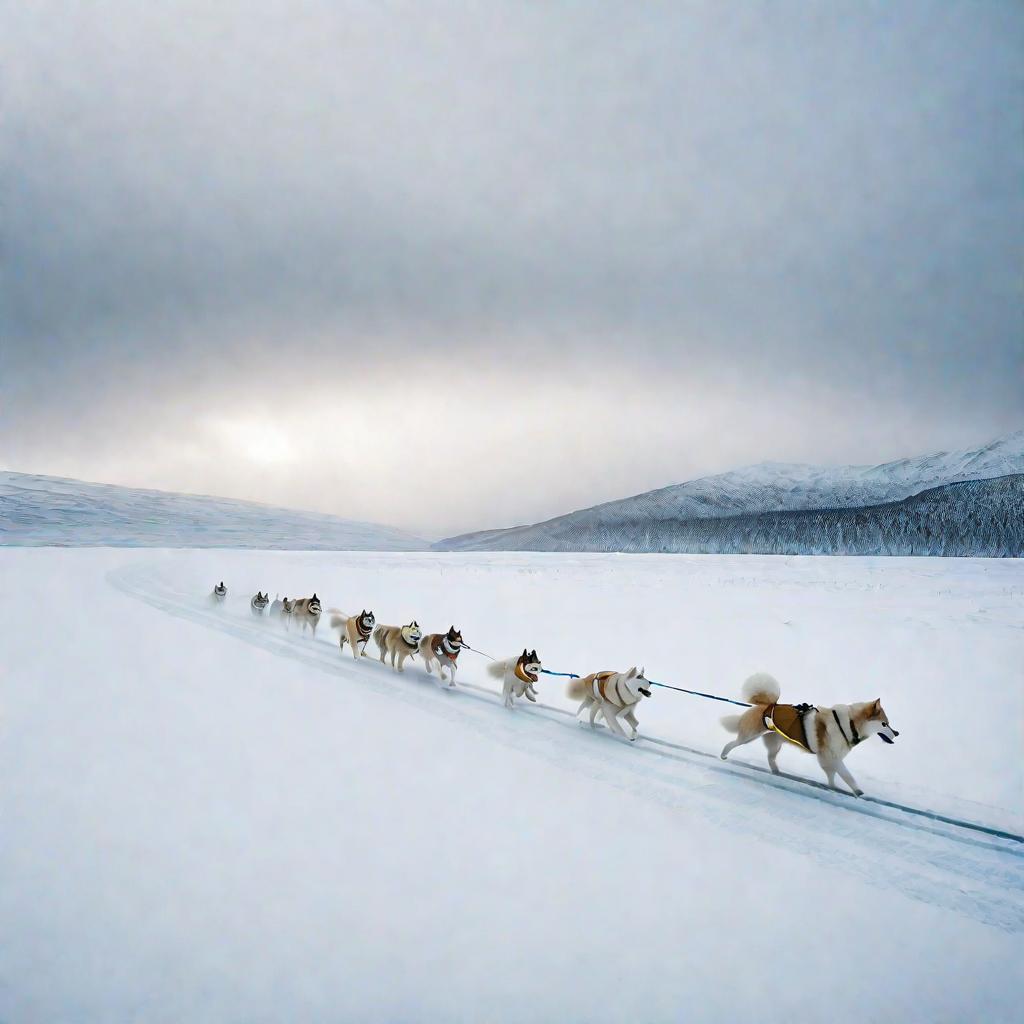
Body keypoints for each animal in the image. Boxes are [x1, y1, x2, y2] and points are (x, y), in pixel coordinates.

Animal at [716, 671, 901, 798]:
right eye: (885, 724)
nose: (897, 733)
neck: (850, 724)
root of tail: (768, 705)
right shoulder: (831, 757)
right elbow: (847, 775)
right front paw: (858, 791)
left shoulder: (829, 759)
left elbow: (833, 775)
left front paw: (834, 787)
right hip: (749, 736)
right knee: (732, 743)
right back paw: (724, 754)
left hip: (774, 743)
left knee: (770, 757)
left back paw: (777, 772)